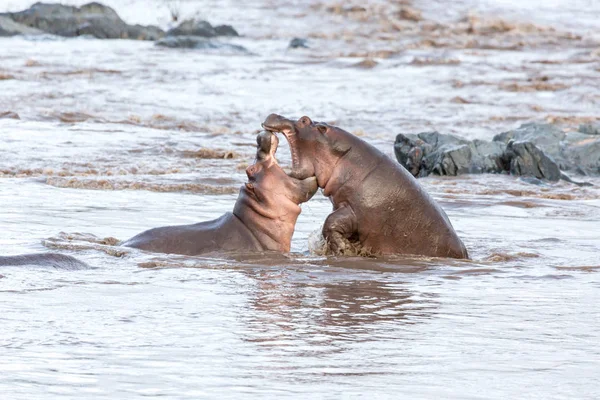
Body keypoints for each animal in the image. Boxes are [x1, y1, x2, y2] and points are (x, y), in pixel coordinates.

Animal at [262, 115, 468, 260]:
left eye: (304, 120)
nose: (275, 114)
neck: (346, 158)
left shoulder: (355, 211)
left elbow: (330, 223)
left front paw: (342, 249)